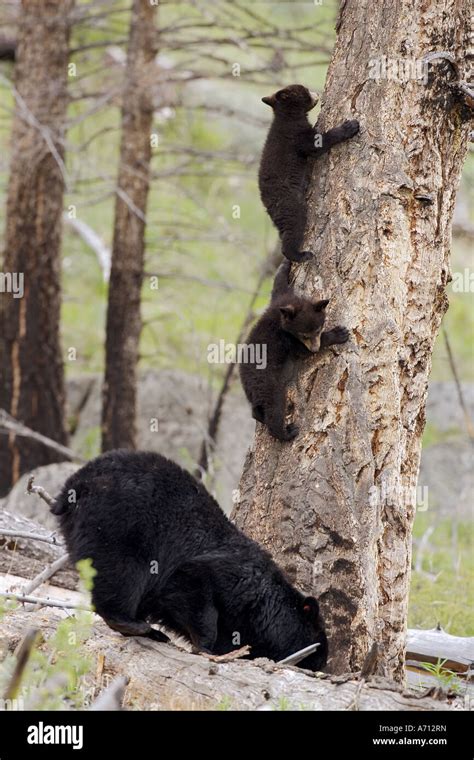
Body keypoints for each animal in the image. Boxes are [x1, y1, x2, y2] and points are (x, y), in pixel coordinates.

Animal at [51, 452, 326, 672]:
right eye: (318, 649)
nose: (322, 665)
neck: (263, 604)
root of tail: (74, 487)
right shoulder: (230, 577)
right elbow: (193, 585)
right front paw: (207, 647)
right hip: (119, 525)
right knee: (121, 574)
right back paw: (137, 625)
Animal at [241, 260, 348, 442]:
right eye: (304, 335)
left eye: (318, 329)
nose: (315, 347)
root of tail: (247, 382)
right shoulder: (286, 340)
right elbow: (302, 351)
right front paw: (338, 334)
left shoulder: (281, 298)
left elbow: (278, 284)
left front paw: (285, 265)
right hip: (269, 385)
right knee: (274, 408)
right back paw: (286, 432)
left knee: (256, 409)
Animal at [260, 84, 360, 262]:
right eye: (305, 91)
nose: (317, 94)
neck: (287, 117)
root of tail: (267, 204)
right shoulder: (297, 136)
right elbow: (318, 144)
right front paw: (349, 127)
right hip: (290, 204)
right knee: (293, 226)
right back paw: (300, 255)